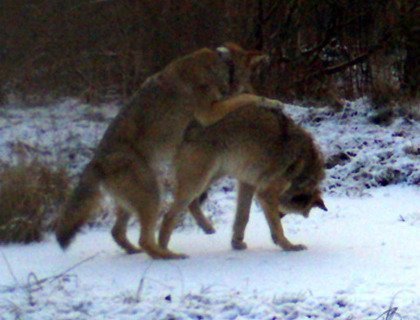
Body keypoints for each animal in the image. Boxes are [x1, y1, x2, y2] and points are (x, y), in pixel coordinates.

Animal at [55, 43, 266, 258]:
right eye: (251, 79)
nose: (260, 88)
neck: (221, 65)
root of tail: (95, 161)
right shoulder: (209, 112)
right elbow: (246, 97)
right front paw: (268, 100)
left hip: (137, 201)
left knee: (118, 233)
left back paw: (136, 251)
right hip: (154, 196)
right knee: (146, 238)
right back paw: (171, 256)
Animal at [159, 95, 326, 258]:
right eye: (301, 213)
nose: (279, 215)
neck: (304, 169)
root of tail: (188, 125)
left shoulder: (247, 184)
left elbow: (243, 216)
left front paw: (237, 243)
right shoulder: (265, 194)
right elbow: (278, 228)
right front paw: (289, 246)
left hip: (212, 176)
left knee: (192, 203)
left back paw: (207, 228)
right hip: (199, 180)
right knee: (169, 214)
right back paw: (164, 251)